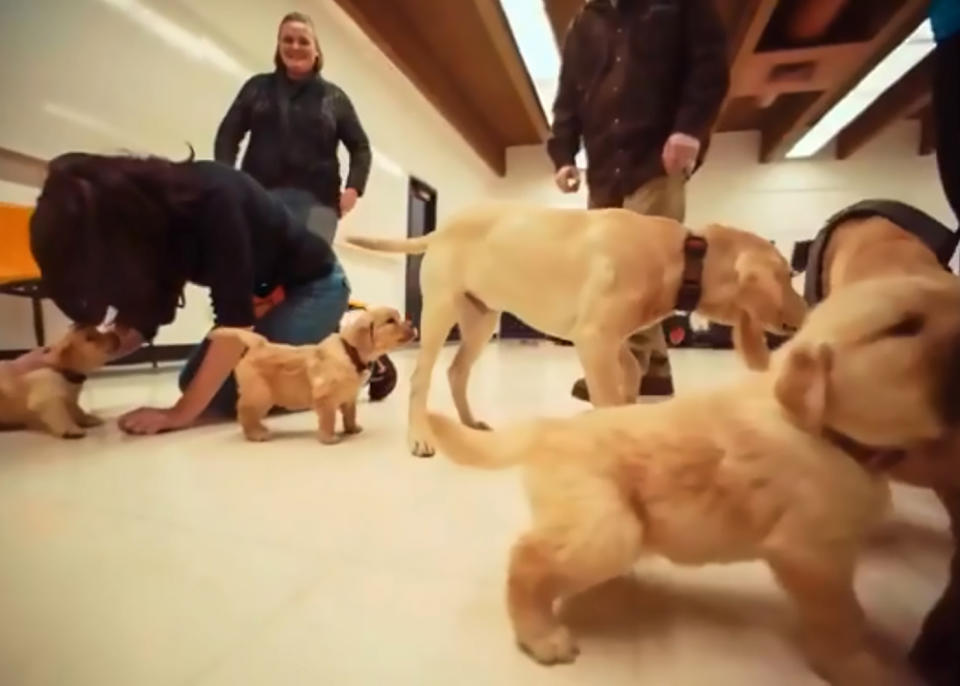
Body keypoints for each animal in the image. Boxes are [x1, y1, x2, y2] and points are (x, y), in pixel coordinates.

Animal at [212, 308, 414, 446]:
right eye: (390, 321)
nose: (412, 324)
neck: (351, 353)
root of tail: (259, 344)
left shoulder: (349, 397)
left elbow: (350, 414)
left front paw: (352, 429)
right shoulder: (325, 398)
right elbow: (329, 419)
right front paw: (329, 438)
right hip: (260, 395)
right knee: (245, 413)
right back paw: (256, 434)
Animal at [344, 204, 804, 456]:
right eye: (786, 275)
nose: (807, 314)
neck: (685, 255)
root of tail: (441, 228)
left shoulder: (610, 339)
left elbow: (631, 374)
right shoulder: (595, 338)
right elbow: (608, 396)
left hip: (481, 320)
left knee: (457, 371)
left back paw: (470, 423)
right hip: (439, 312)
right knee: (421, 378)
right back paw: (419, 435)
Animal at [430, 276, 960, 686]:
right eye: (904, 327)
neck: (826, 433)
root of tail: (549, 427)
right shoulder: (811, 555)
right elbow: (840, 619)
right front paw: (860, 666)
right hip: (607, 530)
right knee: (527, 558)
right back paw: (540, 635)